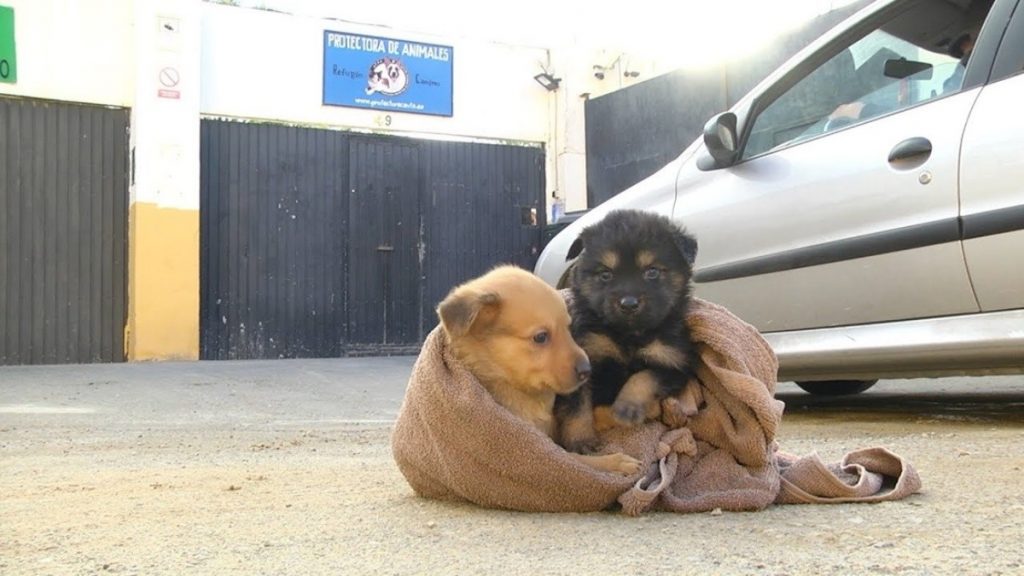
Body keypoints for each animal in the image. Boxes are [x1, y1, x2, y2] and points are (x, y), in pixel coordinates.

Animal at [438, 264, 638, 475]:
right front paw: (616, 462)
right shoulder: (543, 448)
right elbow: (581, 462)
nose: (587, 370)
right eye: (541, 337)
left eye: (568, 328)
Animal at [557, 208, 700, 450]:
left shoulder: (672, 364)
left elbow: (644, 376)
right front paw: (580, 440)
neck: (629, 334)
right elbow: (577, 406)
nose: (629, 304)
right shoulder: (586, 359)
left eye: (652, 272)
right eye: (606, 274)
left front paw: (627, 408)